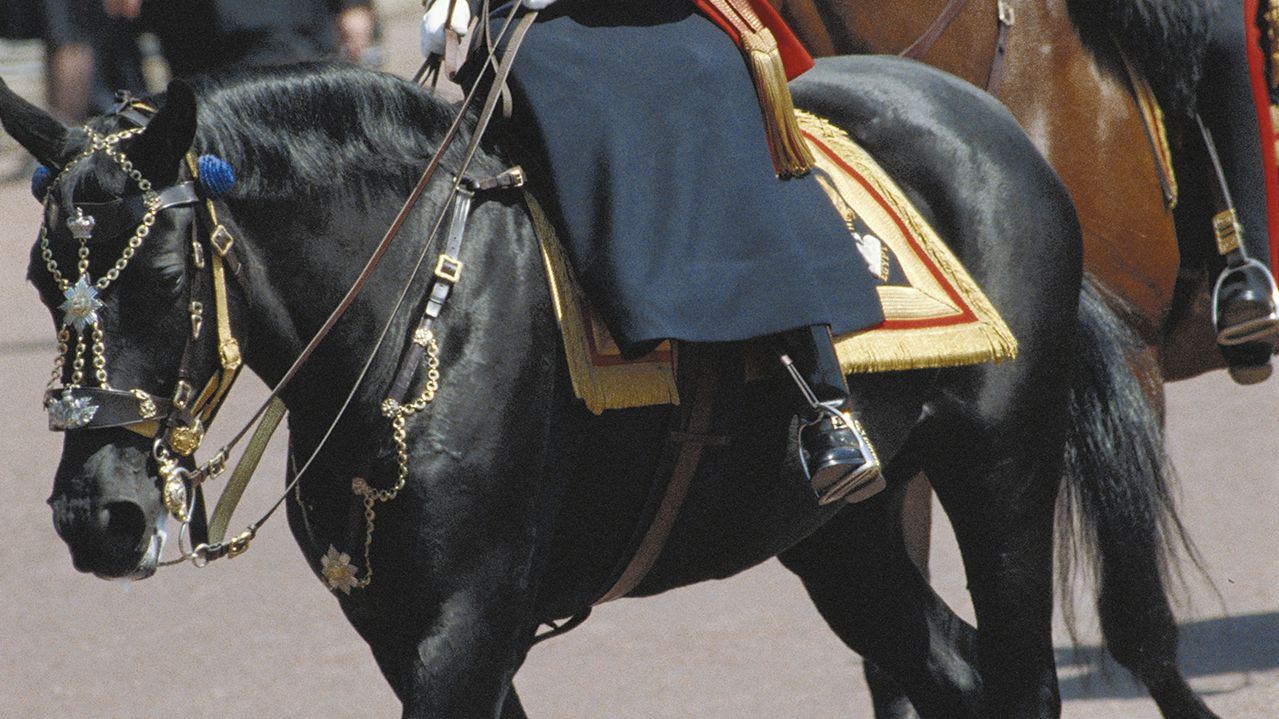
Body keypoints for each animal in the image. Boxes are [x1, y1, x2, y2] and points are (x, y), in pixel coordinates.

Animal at [4, 55, 1166, 717]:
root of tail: (993, 123)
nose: (95, 514)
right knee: (947, 670)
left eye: (161, 276)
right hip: (837, 533)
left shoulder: (467, 622)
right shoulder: (404, 631)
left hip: (1000, 474)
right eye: (40, 278)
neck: (409, 312)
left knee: (1020, 682)